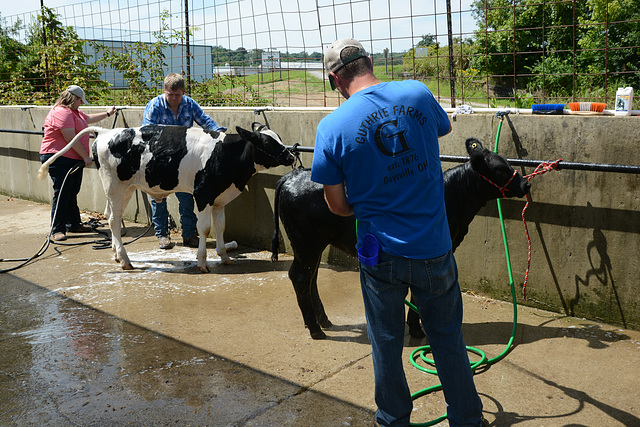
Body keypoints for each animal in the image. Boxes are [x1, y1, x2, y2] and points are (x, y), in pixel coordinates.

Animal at [37, 122, 292, 272]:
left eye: (279, 136)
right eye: (266, 141)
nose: (290, 156)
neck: (225, 154)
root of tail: (107, 132)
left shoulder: (219, 198)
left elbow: (221, 226)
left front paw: (224, 257)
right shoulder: (202, 194)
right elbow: (205, 228)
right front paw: (202, 262)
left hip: (123, 189)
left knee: (110, 216)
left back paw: (116, 255)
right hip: (115, 186)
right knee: (112, 220)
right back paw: (125, 260)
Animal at [270, 139, 528, 340]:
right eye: (501, 170)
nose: (526, 183)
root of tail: (293, 175)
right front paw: (416, 329)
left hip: (313, 244)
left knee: (311, 277)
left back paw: (323, 320)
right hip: (305, 243)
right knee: (300, 276)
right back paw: (314, 328)